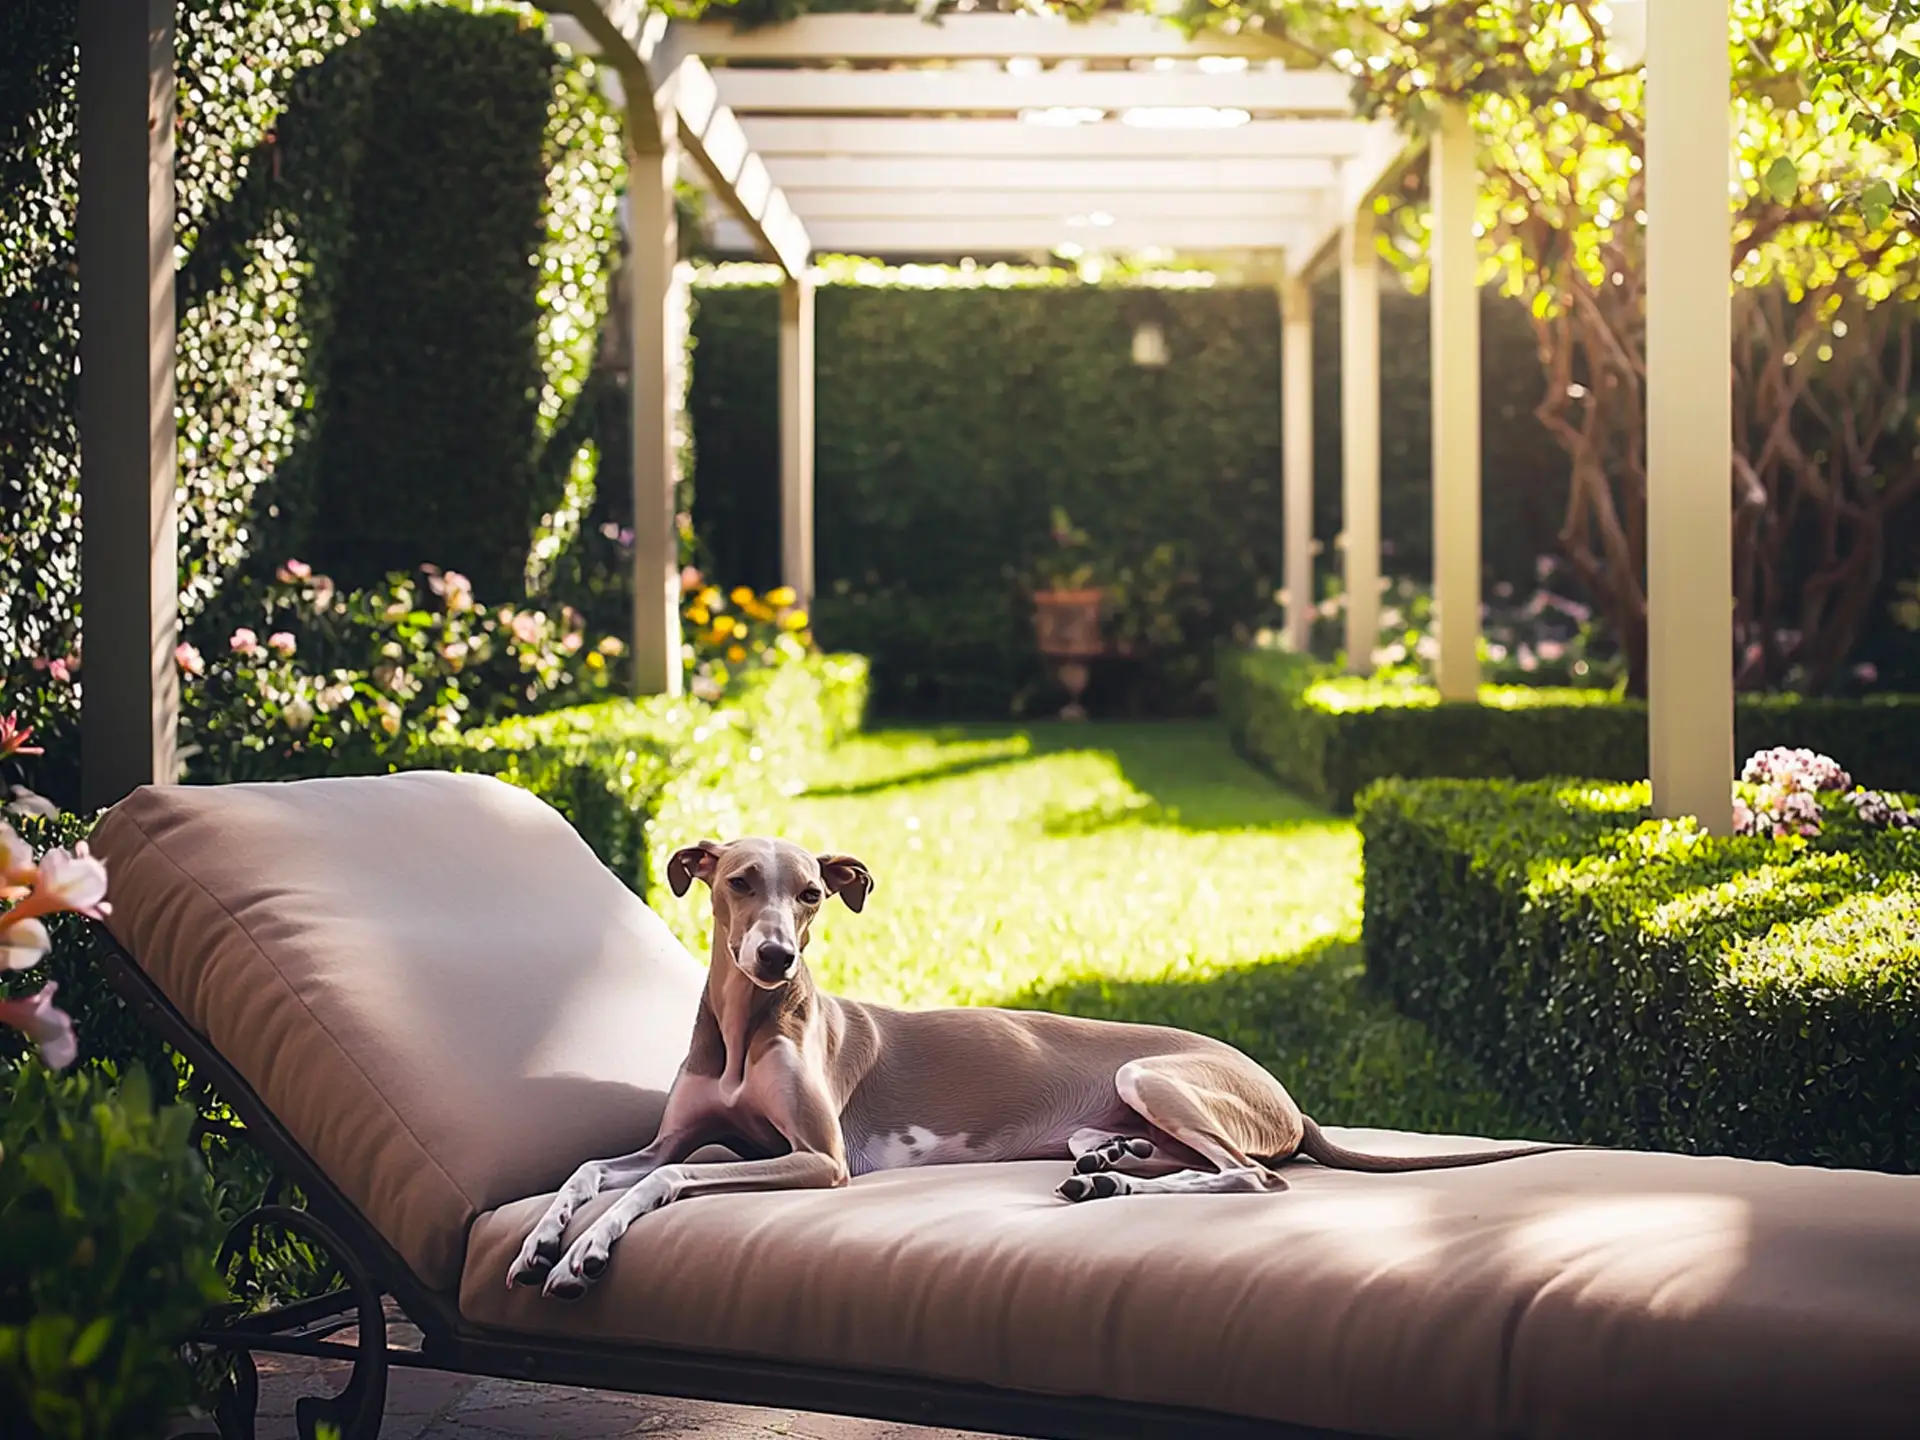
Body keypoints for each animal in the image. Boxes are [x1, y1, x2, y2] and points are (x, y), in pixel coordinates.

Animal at [506, 840, 1559, 1305]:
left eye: (811, 895)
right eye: (737, 884)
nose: (776, 959)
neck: (744, 1028)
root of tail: (1289, 1101)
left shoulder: (821, 1160)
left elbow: (667, 1182)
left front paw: (589, 1249)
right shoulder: (679, 1134)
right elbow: (603, 1167)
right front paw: (545, 1236)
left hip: (1153, 1077)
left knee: (1251, 1177)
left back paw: (1116, 1191)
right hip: (1125, 1111)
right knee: (1185, 1163)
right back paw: (1105, 1173)